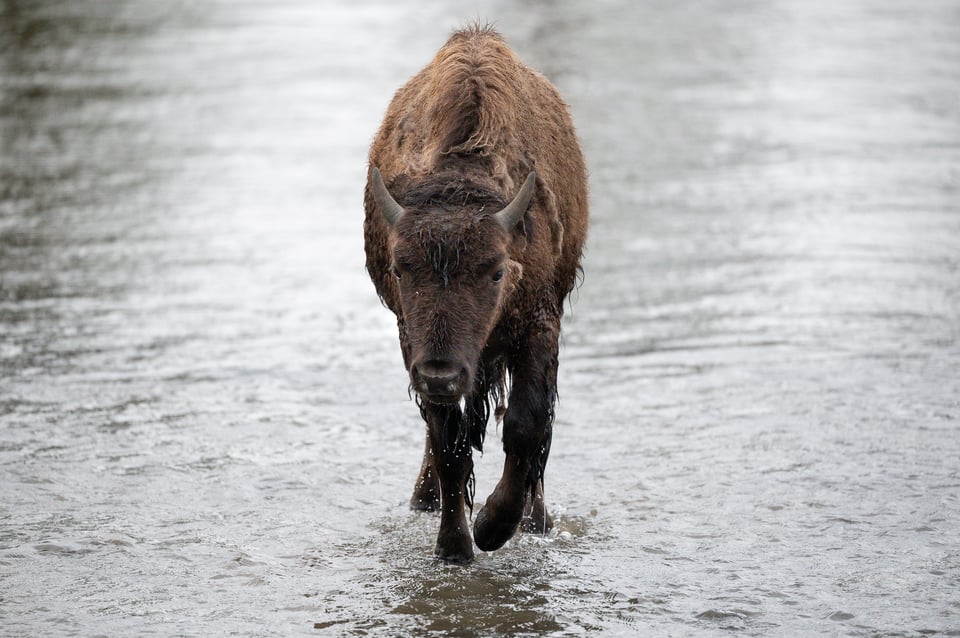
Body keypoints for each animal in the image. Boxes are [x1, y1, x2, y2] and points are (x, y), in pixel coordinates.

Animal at [364, 25, 584, 564]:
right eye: (399, 268)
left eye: (497, 271)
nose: (441, 375)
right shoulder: (412, 341)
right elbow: (448, 442)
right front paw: (455, 547)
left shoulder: (538, 327)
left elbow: (526, 425)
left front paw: (493, 527)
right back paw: (423, 500)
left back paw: (537, 520)